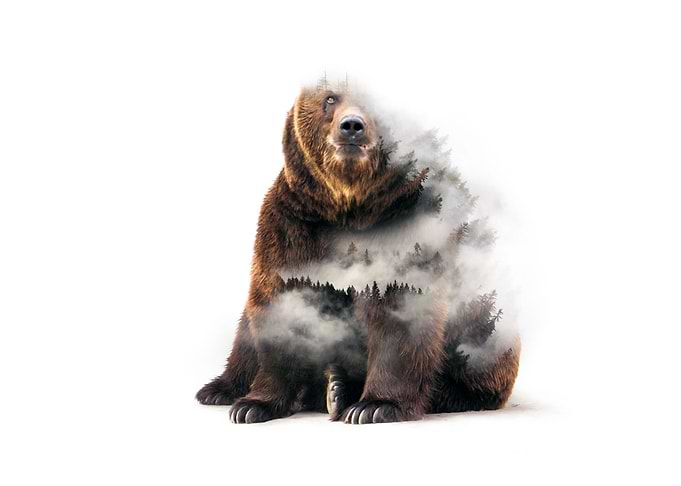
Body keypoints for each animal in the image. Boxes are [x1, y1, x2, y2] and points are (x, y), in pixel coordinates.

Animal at [196, 84, 520, 424]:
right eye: (330, 98)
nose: (352, 126)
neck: (350, 208)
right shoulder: (292, 225)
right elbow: (282, 302)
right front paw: (252, 405)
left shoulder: (410, 225)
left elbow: (400, 313)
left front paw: (375, 405)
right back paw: (224, 389)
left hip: (486, 325)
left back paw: (343, 390)